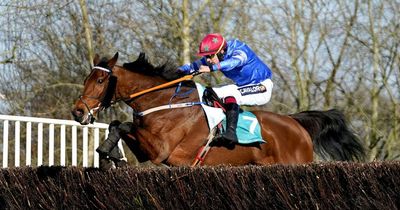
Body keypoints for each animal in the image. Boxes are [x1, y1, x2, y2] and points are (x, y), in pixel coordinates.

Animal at [72, 52, 366, 166]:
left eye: (100, 81)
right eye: (87, 78)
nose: (77, 111)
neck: (164, 102)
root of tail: (296, 123)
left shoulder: (160, 151)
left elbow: (123, 125)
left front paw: (108, 152)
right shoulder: (151, 152)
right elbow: (117, 125)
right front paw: (108, 152)